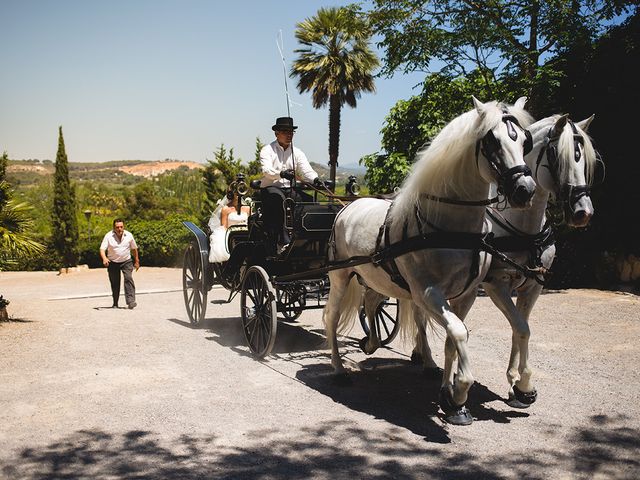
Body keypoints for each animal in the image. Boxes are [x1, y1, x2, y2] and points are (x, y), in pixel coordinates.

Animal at [324, 96, 536, 424]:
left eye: (525, 141)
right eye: (491, 142)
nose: (524, 190)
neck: (451, 229)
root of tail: (348, 207)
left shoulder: (465, 295)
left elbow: (454, 339)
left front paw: (451, 397)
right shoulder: (428, 292)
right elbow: (458, 333)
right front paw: (459, 392)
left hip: (378, 277)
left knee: (371, 301)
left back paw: (371, 342)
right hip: (340, 277)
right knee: (332, 317)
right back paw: (337, 368)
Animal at [408, 112, 596, 408]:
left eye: (583, 157)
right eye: (556, 155)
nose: (583, 212)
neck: (522, 229)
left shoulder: (534, 285)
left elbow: (522, 328)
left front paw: (516, 382)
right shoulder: (497, 284)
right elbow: (520, 326)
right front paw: (523, 381)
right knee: (418, 314)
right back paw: (424, 357)